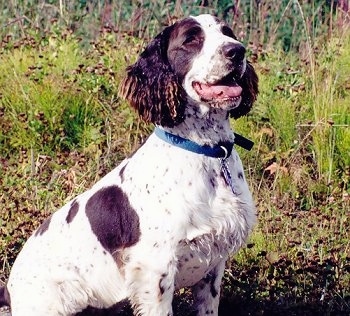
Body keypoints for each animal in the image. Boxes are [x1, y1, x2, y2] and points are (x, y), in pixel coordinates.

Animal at [0, 13, 258, 314]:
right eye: (191, 39)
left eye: (228, 32)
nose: (237, 51)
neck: (207, 151)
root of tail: (9, 290)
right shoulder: (155, 270)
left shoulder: (213, 266)